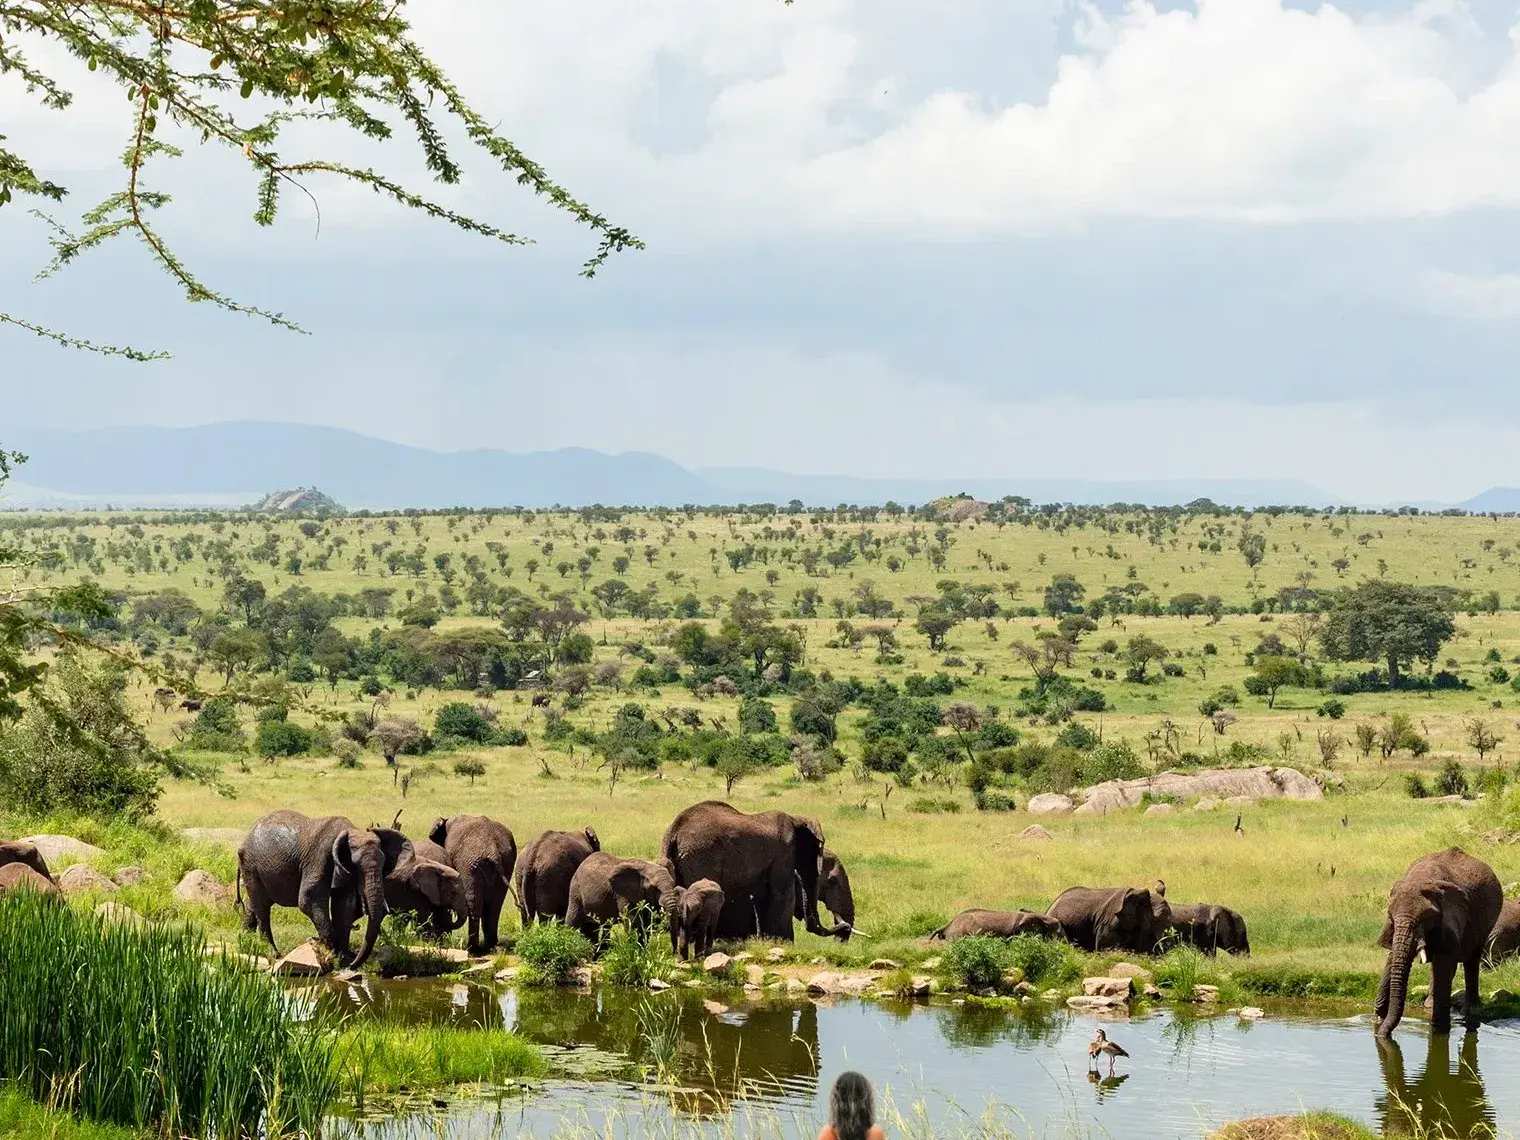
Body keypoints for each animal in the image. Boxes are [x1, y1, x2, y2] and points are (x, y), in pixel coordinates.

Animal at [237, 810, 411, 967]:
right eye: (356, 866)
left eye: (383, 866)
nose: (353, 964)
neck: (351, 830)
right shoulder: (320, 857)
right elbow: (308, 899)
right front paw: (330, 952)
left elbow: (344, 905)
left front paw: (342, 958)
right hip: (250, 864)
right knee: (262, 906)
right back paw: (273, 953)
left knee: (255, 903)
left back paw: (245, 940)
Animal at [429, 814, 517, 953]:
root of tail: (492, 850)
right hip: (506, 862)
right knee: (495, 906)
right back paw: (490, 947)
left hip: (469, 864)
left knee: (473, 903)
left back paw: (472, 949)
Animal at [661, 800, 845, 941]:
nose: (844, 926)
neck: (796, 819)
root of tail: (674, 831)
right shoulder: (784, 852)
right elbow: (782, 894)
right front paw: (784, 943)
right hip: (700, 858)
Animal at [1375, 847, 1502, 1037]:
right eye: (1390, 916)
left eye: (1425, 918)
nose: (1381, 1035)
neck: (1421, 880)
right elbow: (1392, 957)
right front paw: (1378, 1019)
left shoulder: (1450, 917)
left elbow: (1443, 962)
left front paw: (1439, 1028)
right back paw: (1430, 1005)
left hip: (1486, 923)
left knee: (1471, 958)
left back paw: (1470, 1011)